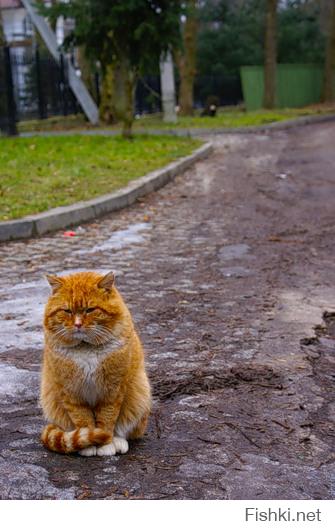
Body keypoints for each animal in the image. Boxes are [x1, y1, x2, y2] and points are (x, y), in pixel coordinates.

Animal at [40, 270, 152, 456]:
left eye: (90, 310)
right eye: (67, 311)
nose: (78, 325)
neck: (86, 349)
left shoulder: (112, 391)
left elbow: (107, 419)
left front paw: (106, 443)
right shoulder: (71, 393)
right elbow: (83, 421)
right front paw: (89, 444)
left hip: (140, 393)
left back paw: (118, 441)